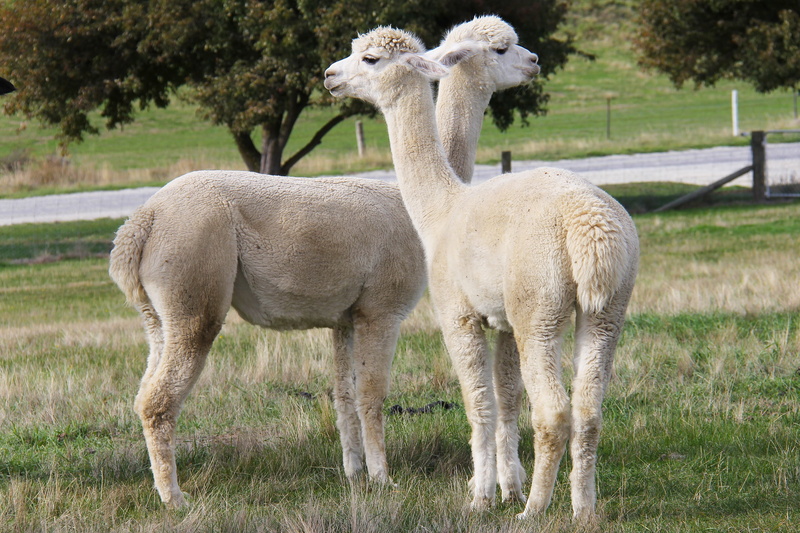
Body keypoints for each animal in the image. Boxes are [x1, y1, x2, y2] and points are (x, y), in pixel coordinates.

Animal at [324, 27, 639, 524]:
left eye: (369, 58)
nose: (330, 75)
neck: (441, 210)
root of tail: (587, 223)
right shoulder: (504, 321)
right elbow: (505, 398)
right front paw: (503, 487)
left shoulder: (458, 314)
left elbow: (479, 404)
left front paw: (482, 497)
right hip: (607, 307)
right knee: (589, 411)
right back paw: (583, 511)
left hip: (539, 305)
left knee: (554, 412)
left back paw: (534, 510)